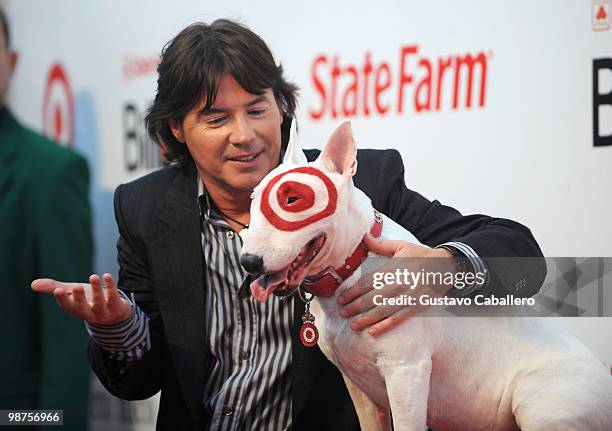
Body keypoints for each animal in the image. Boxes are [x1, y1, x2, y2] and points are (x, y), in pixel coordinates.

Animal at [238, 120, 612, 430]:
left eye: (293, 199)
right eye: (254, 199)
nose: (248, 262)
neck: (353, 264)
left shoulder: (407, 373)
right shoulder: (360, 387)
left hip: (544, 403)